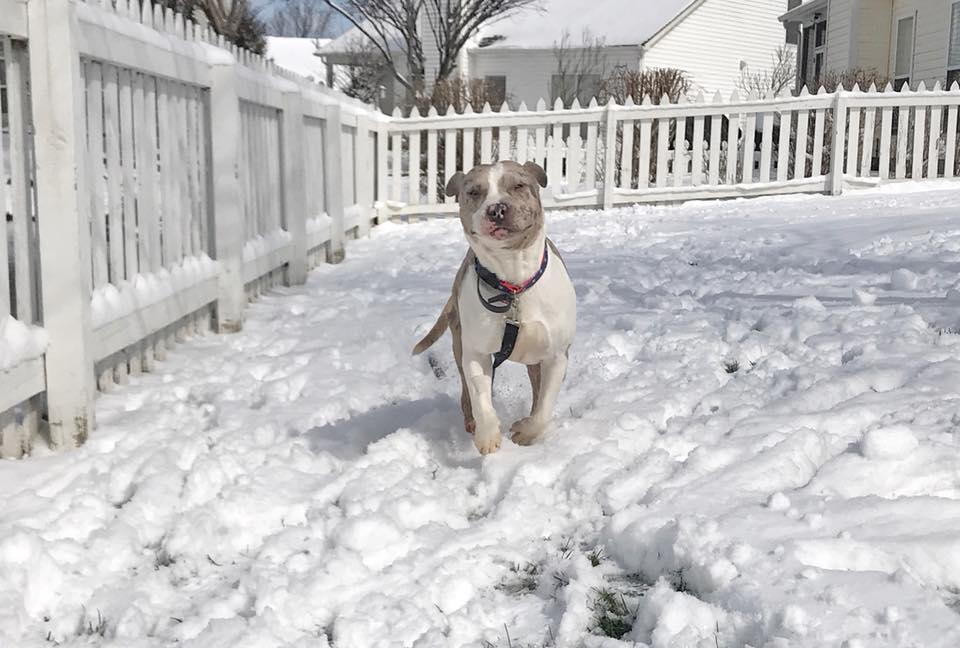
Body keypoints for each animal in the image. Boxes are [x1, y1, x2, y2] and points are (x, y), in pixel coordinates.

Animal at [414, 161, 576, 456]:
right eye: (473, 192)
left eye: (518, 185)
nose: (497, 209)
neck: (513, 283)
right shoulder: (476, 352)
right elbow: (481, 396)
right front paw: (488, 435)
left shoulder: (557, 355)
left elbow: (544, 408)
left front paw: (525, 432)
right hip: (459, 344)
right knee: (466, 389)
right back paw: (470, 421)